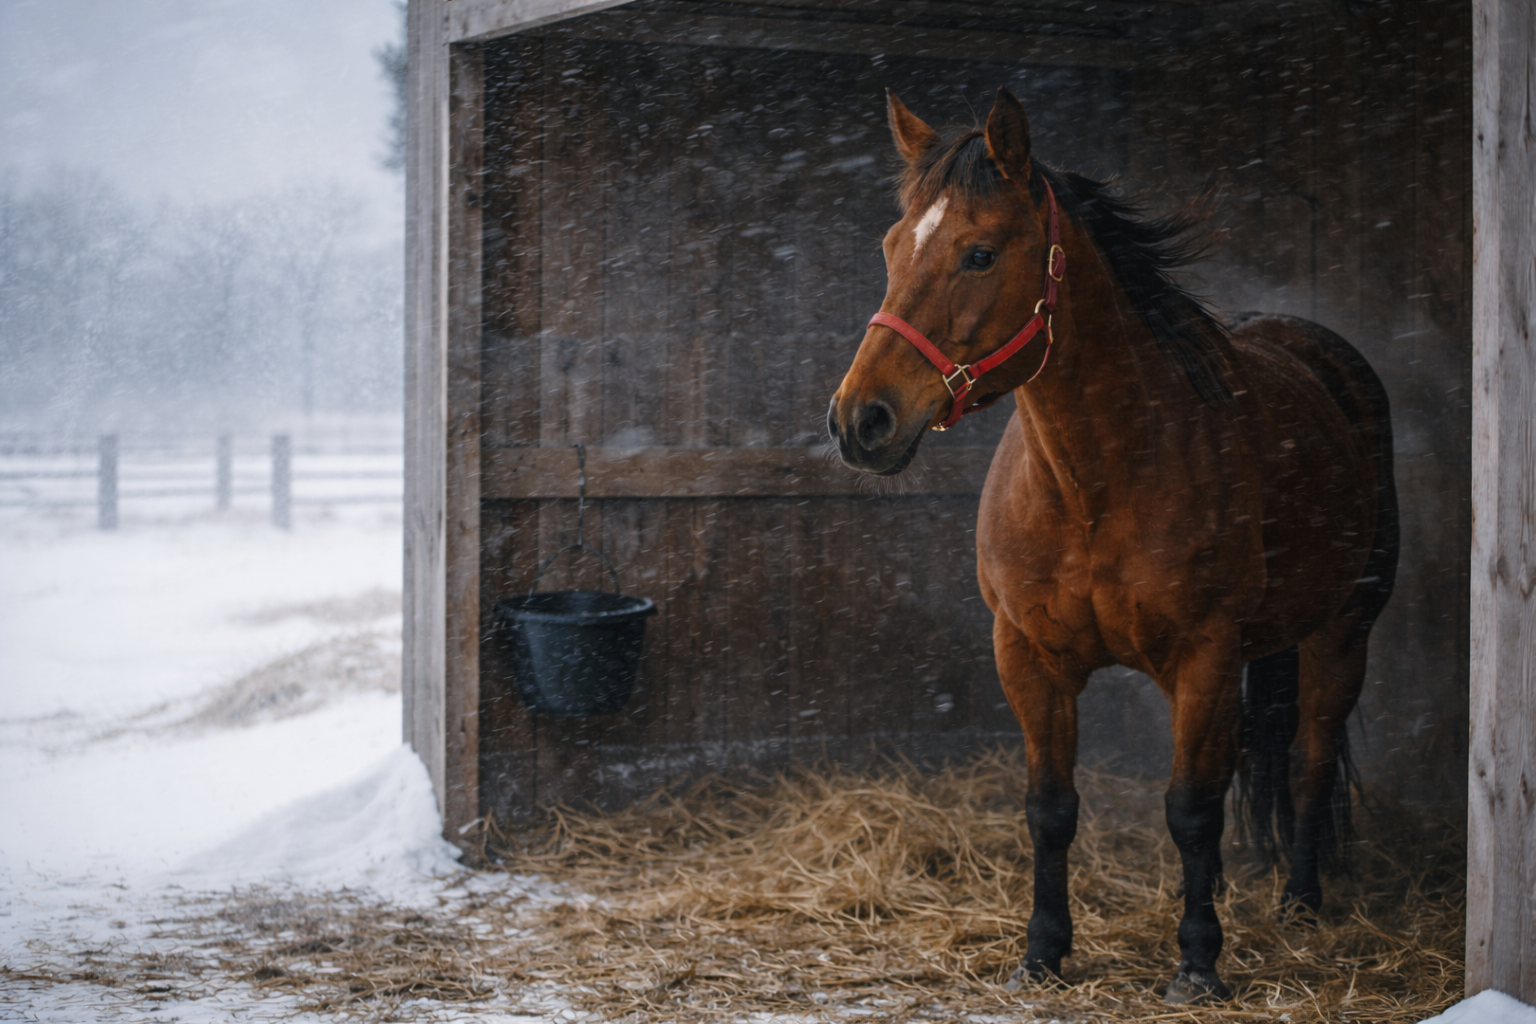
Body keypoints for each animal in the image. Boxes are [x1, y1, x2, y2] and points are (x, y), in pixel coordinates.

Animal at [827, 87, 1398, 1004]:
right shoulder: (1027, 656)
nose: (860, 420)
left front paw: (1198, 963)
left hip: (1343, 631)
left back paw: (1302, 903)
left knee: (1309, 758)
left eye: (980, 253)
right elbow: (1052, 808)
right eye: (891, 246)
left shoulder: (1206, 654)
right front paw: (1042, 953)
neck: (1092, 486)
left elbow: (1192, 807)